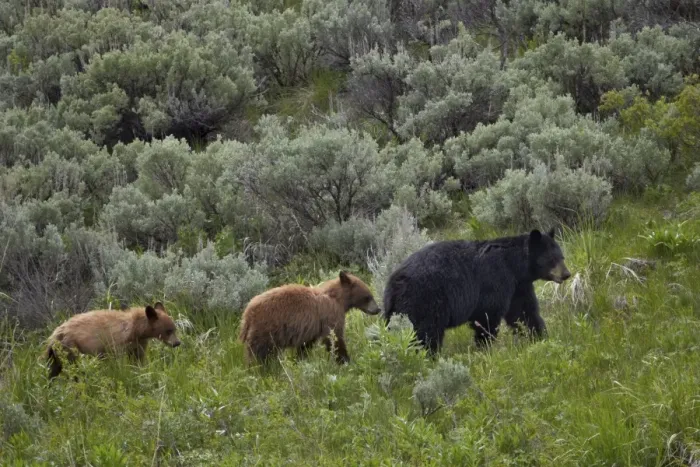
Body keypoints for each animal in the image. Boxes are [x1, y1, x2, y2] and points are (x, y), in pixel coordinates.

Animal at [45, 302, 181, 379]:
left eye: (174, 328)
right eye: (168, 330)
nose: (177, 343)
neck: (136, 329)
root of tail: (54, 335)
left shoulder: (138, 344)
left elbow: (138, 360)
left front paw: (142, 371)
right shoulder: (118, 342)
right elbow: (120, 361)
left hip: (56, 354)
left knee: (54, 370)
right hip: (70, 347)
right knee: (73, 368)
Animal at [239, 271, 381, 365]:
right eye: (368, 296)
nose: (378, 309)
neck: (338, 299)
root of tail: (247, 313)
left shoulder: (311, 328)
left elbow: (306, 344)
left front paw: (300, 359)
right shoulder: (331, 314)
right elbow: (334, 337)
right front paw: (345, 360)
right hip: (265, 330)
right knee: (258, 352)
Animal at [382, 228, 571, 354]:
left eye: (561, 256)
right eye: (551, 259)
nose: (566, 274)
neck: (514, 266)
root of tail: (394, 285)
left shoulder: (518, 286)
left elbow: (524, 313)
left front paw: (539, 337)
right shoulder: (496, 279)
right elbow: (487, 315)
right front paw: (484, 347)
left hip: (397, 310)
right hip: (425, 301)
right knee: (426, 333)